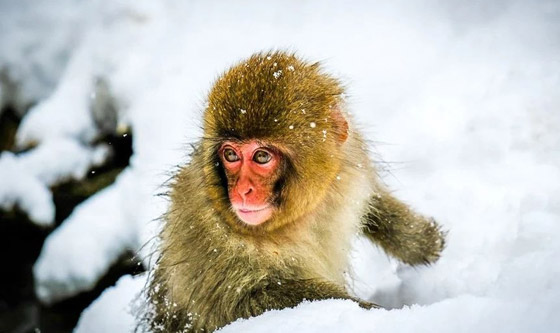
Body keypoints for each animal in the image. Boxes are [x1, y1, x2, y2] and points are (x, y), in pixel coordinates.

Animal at [144, 50, 446, 330]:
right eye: (230, 155)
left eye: (262, 157)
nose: (242, 191)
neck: (294, 221)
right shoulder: (206, 235)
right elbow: (242, 304)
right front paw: (375, 312)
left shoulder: (348, 166)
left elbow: (372, 201)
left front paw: (420, 240)